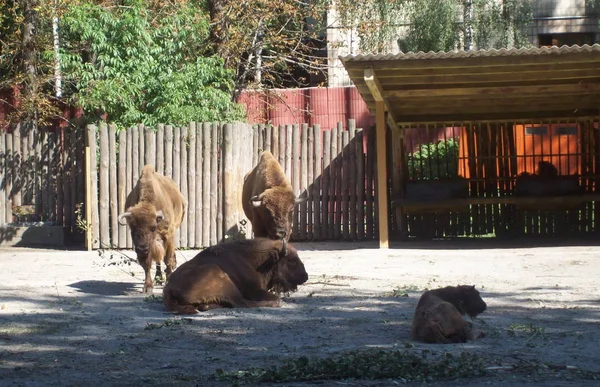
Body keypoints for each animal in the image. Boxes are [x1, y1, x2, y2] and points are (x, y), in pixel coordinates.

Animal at [116, 164, 183, 294]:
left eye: (153, 228)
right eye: (132, 228)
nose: (142, 249)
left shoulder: (168, 235)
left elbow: (167, 259)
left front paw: (168, 281)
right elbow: (147, 263)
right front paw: (148, 287)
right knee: (158, 261)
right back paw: (158, 278)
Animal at [164, 236, 310, 316]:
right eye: (291, 260)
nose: (305, 276)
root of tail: (169, 287)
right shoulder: (255, 291)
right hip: (223, 279)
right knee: (242, 303)